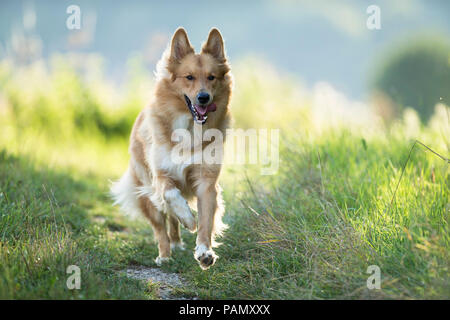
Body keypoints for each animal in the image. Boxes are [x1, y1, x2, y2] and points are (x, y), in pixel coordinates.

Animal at [111, 27, 232, 268]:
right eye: (189, 77)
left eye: (211, 77)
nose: (203, 98)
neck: (190, 128)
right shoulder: (161, 175)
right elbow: (171, 195)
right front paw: (188, 218)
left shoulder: (207, 181)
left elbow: (206, 222)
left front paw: (204, 251)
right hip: (146, 192)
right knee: (160, 228)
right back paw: (165, 255)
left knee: (172, 223)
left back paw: (176, 243)